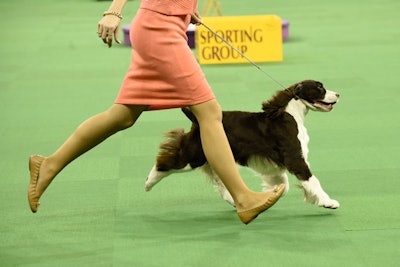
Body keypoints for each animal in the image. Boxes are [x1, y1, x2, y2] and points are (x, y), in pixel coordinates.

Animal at [145, 80, 340, 210]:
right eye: (319, 87)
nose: (338, 94)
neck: (290, 116)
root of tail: (197, 120)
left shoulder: (274, 164)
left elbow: (282, 183)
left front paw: (270, 195)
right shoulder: (294, 158)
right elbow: (312, 180)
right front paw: (328, 202)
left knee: (218, 178)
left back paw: (234, 201)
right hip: (194, 155)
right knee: (167, 160)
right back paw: (148, 183)